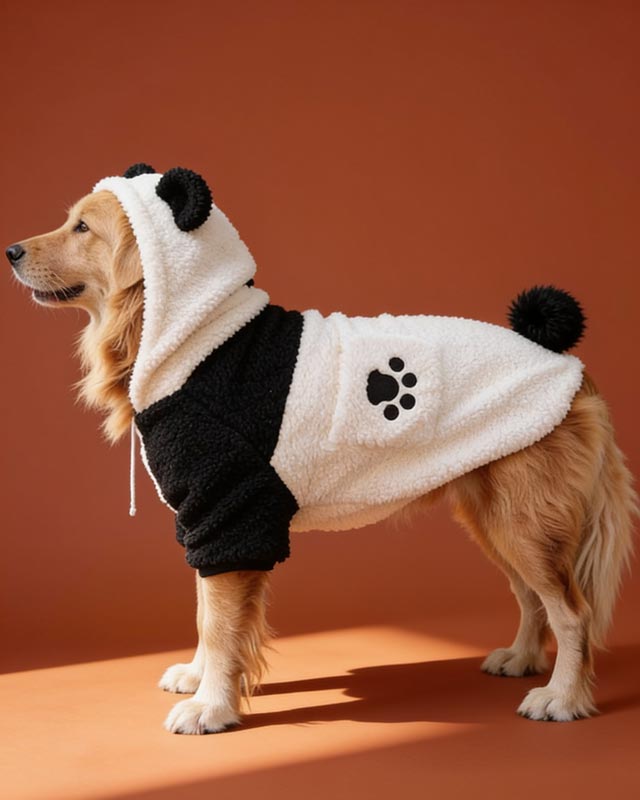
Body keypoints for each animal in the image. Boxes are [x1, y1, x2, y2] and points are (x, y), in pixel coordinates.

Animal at [94, 163, 585, 577]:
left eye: (83, 227)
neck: (207, 339)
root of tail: (564, 363)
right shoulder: (211, 516)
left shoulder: (232, 509)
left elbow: (220, 621)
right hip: (492, 515)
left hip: (524, 519)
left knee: (568, 613)